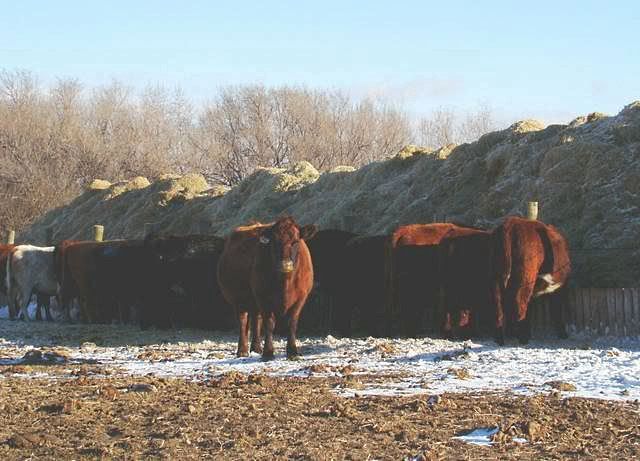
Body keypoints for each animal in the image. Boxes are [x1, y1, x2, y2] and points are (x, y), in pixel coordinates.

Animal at [217, 217, 316, 360]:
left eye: (296, 241)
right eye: (274, 243)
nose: (285, 264)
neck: (285, 282)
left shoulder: (300, 298)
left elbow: (291, 323)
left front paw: (293, 352)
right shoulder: (263, 298)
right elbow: (269, 323)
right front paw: (268, 352)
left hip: (253, 302)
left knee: (256, 320)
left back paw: (256, 348)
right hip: (239, 299)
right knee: (243, 321)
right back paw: (242, 350)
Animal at [493, 216, 571, 345]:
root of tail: (510, 224)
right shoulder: (560, 288)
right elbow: (556, 310)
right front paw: (563, 333)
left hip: (496, 278)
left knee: (498, 305)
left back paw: (501, 338)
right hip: (525, 277)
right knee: (519, 302)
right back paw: (522, 338)